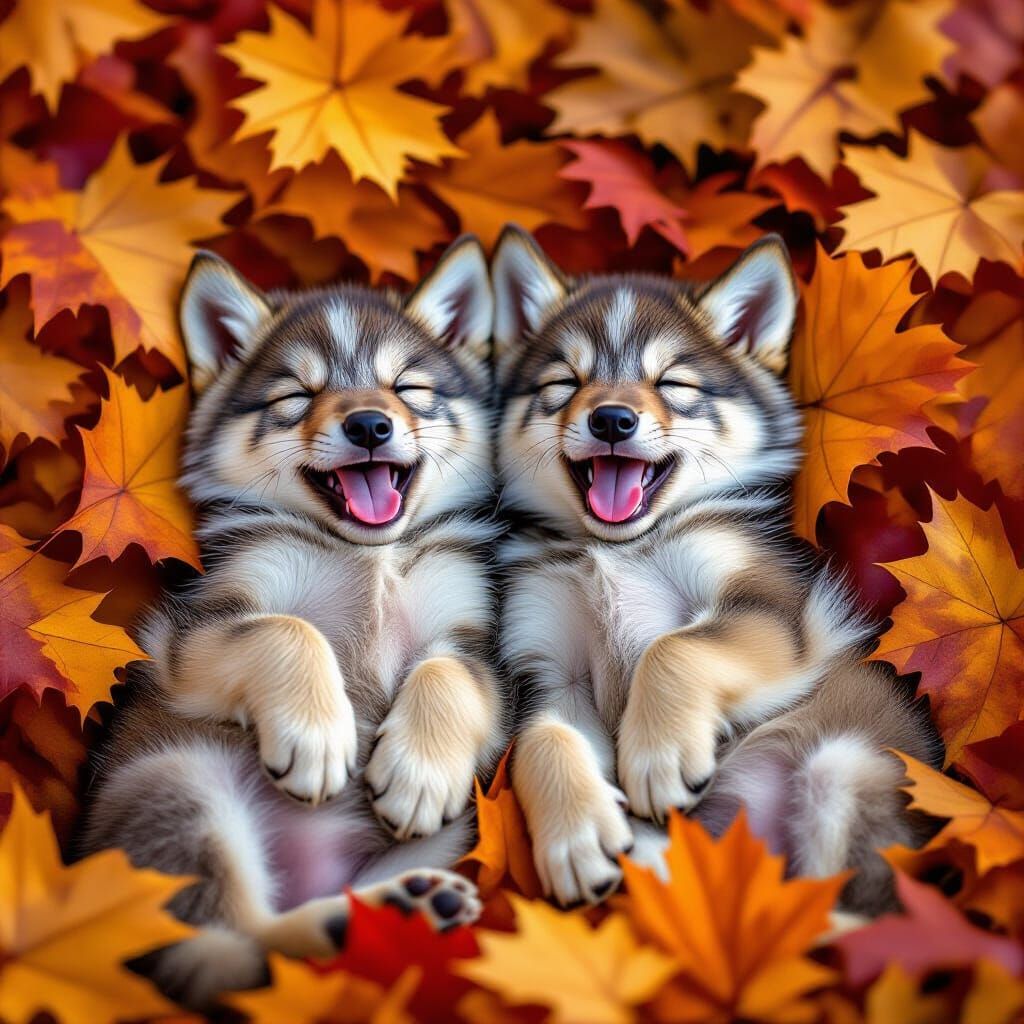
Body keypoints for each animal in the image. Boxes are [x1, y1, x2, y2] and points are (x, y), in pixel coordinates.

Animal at [80, 237, 506, 1008]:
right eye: (297, 398)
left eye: (408, 390)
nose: (368, 425)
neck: (365, 553)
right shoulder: (204, 620)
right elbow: (288, 630)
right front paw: (316, 736)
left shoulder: (475, 635)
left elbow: (446, 671)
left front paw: (419, 771)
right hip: (181, 785)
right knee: (230, 950)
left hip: (457, 833)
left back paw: (402, 911)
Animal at [491, 225, 941, 913]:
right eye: (565, 383)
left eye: (674, 385)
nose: (612, 418)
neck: (616, 549)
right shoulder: (548, 668)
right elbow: (542, 739)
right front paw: (576, 836)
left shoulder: (768, 603)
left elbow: (677, 646)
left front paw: (659, 756)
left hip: (848, 766)